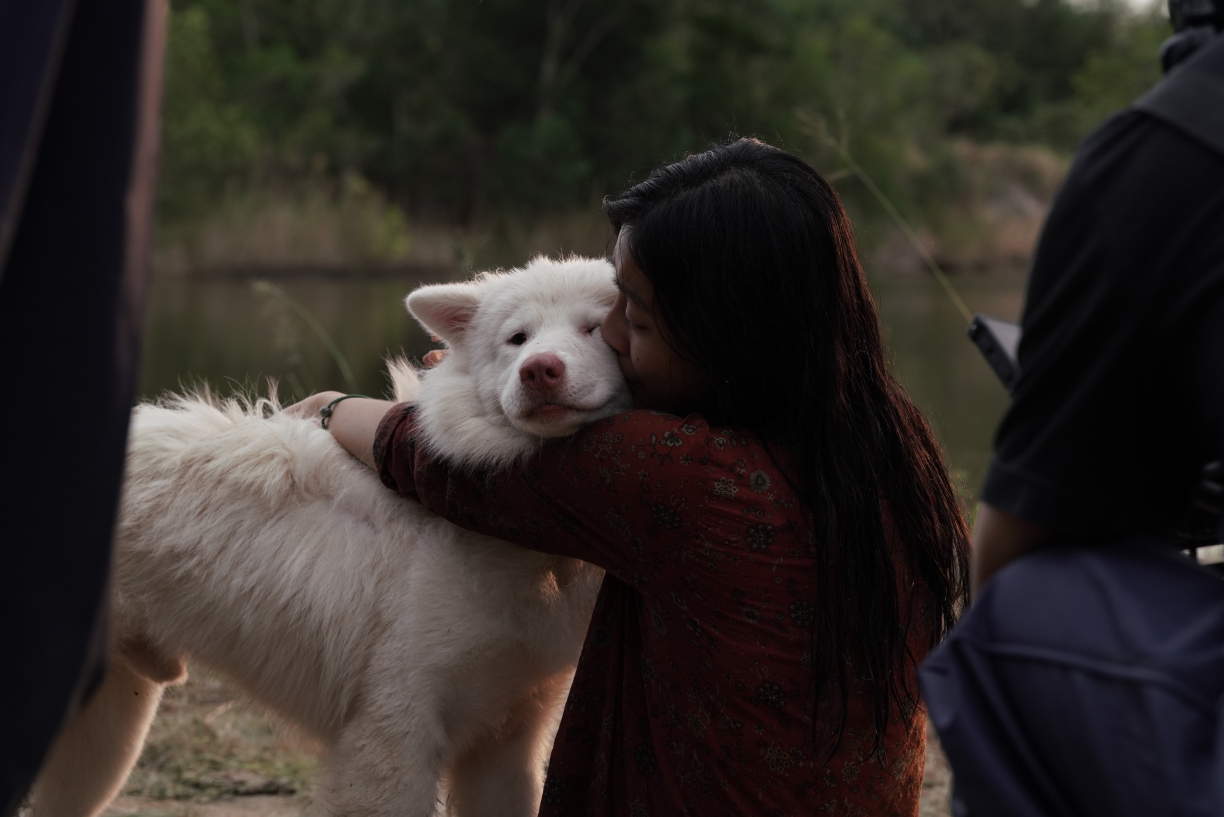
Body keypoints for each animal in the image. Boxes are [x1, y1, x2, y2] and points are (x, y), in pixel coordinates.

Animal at [26, 256, 631, 817]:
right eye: (517, 338)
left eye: (594, 328)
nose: (539, 370)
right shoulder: (391, 737)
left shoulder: (508, 745)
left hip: (105, 735)